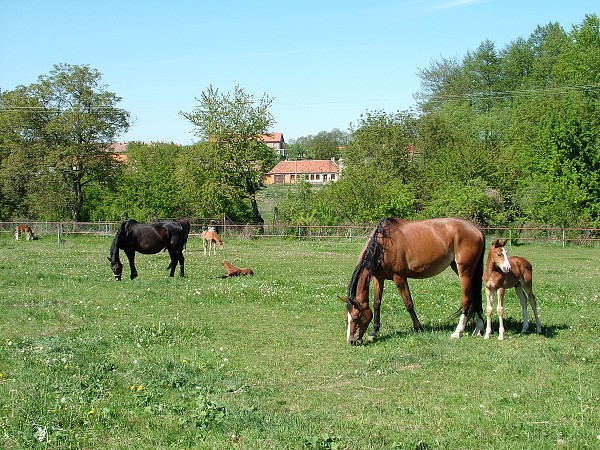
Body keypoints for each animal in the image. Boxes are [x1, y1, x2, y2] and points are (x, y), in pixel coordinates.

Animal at [340, 218, 486, 344]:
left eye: (355, 317)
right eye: (347, 318)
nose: (351, 341)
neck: (383, 245)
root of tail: (476, 229)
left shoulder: (399, 278)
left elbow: (408, 303)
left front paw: (418, 327)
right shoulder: (378, 278)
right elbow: (377, 304)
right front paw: (373, 333)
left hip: (465, 271)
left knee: (467, 299)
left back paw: (458, 332)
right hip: (461, 269)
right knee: (475, 296)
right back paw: (478, 328)